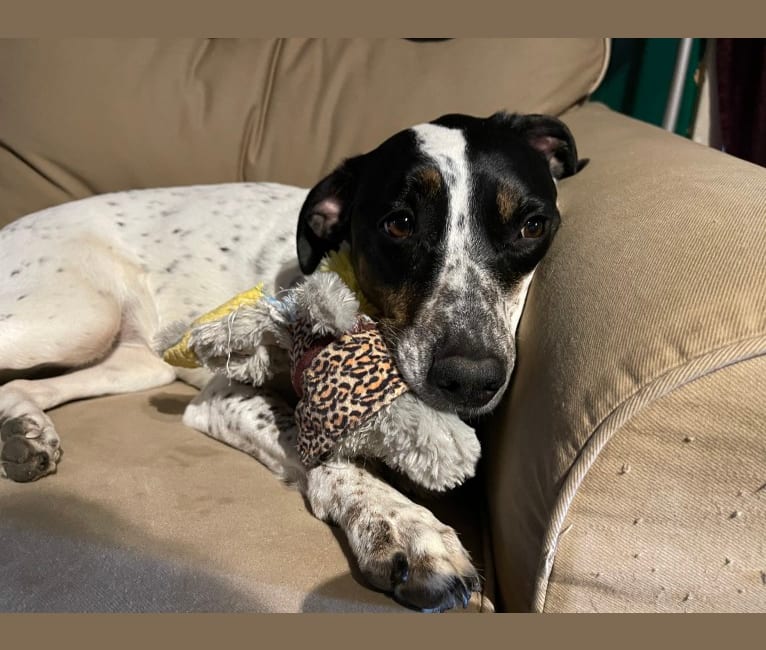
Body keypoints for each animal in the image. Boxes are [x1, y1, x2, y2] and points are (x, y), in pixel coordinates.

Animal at [0, 109, 584, 612]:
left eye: (533, 226)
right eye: (399, 224)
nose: (470, 380)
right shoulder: (221, 396)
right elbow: (325, 453)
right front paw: (402, 523)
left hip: (133, 359)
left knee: (18, 385)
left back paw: (26, 432)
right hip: (76, 317)